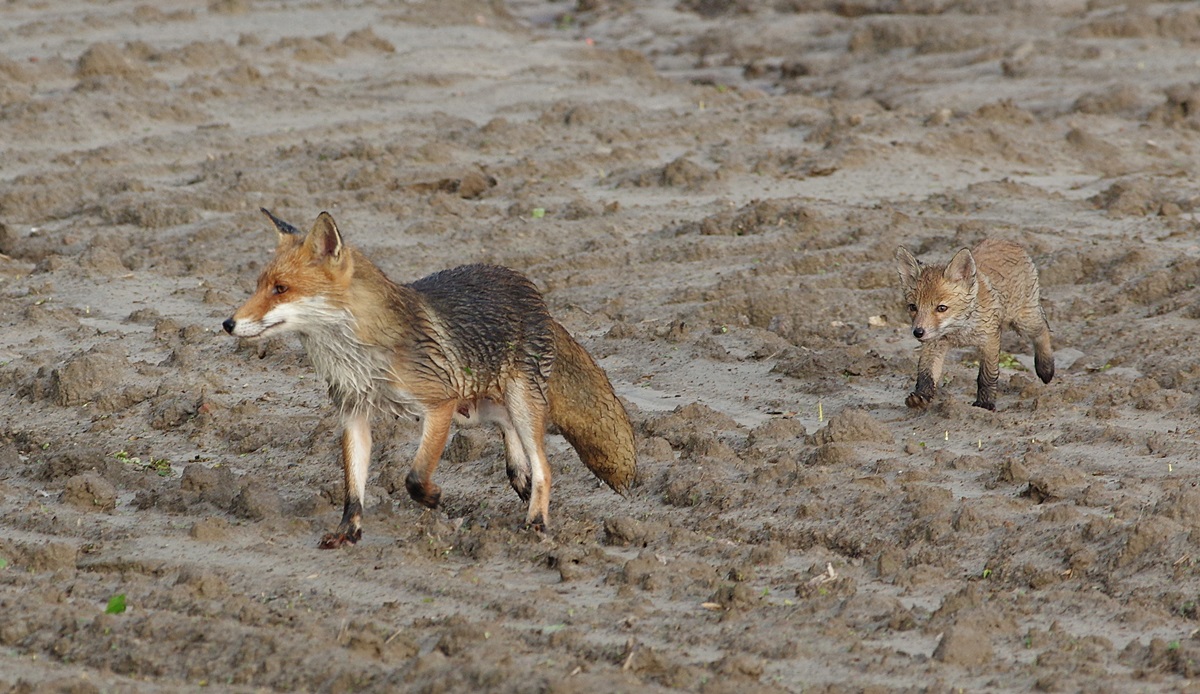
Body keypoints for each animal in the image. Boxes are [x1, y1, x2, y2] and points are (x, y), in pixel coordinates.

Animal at [225, 208, 638, 545]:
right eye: (258, 286)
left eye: (281, 289)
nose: (228, 323)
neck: (361, 355)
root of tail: (526, 285)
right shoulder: (354, 413)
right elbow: (353, 488)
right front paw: (348, 532)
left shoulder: (439, 404)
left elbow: (415, 475)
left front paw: (433, 497)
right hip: (478, 406)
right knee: (509, 430)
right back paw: (518, 472)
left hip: (513, 401)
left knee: (545, 467)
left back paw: (536, 521)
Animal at [892, 238, 1051, 408]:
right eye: (913, 307)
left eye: (942, 308)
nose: (918, 332)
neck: (959, 331)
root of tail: (1003, 239)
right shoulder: (934, 343)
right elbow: (926, 373)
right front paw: (921, 396)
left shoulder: (990, 339)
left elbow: (987, 376)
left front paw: (984, 404)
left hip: (1023, 321)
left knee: (1043, 329)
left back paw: (1046, 368)